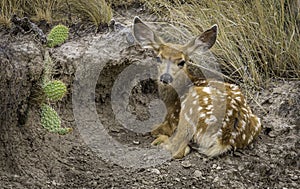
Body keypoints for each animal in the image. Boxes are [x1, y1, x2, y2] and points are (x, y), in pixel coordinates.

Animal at [132, 16, 262, 159]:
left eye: (181, 62)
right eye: (158, 58)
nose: (165, 78)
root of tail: (224, 138)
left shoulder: (173, 119)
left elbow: (157, 129)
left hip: (190, 110)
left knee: (178, 149)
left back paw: (160, 141)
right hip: (257, 122)